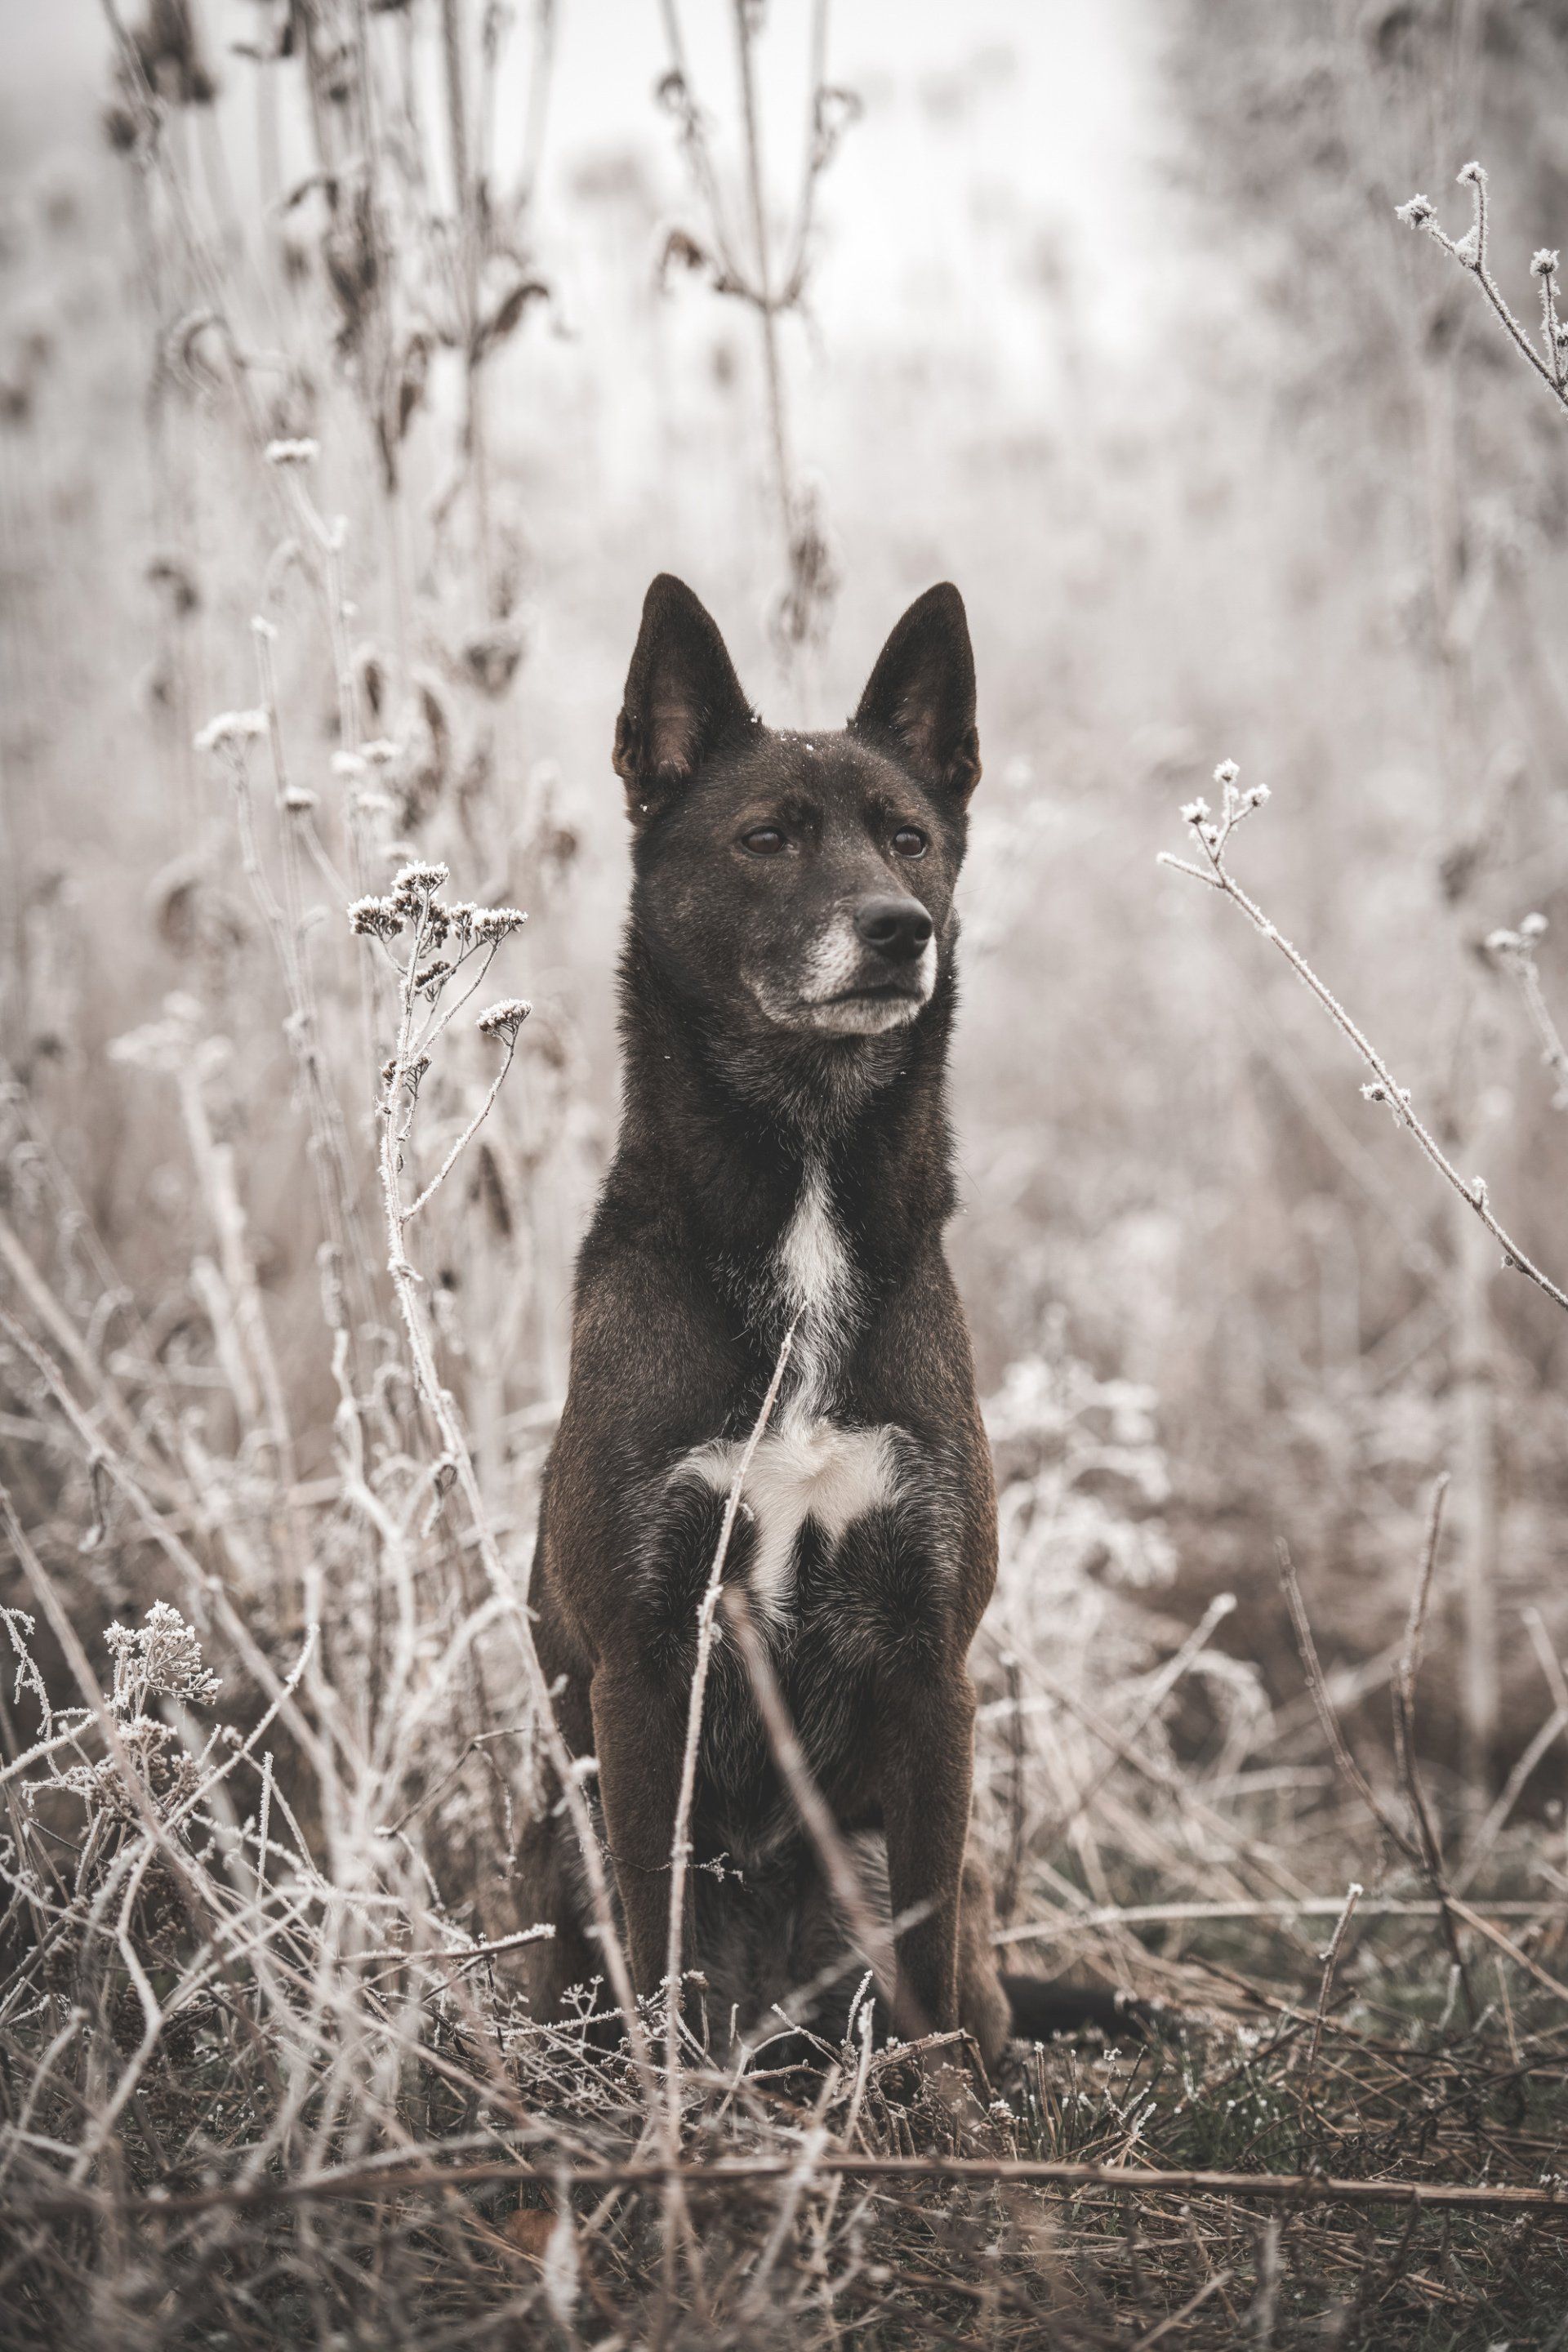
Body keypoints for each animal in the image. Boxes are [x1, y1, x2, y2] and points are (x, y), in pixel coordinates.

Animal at [523, 574, 1130, 2068]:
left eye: (909, 837)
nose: (898, 926)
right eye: (765, 837)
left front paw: (943, 2109)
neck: (800, 1183)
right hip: (556, 1849)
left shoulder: (930, 1670)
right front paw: (665, 2107)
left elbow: (927, 1980)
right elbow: (656, 1930)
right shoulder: (645, 1670)